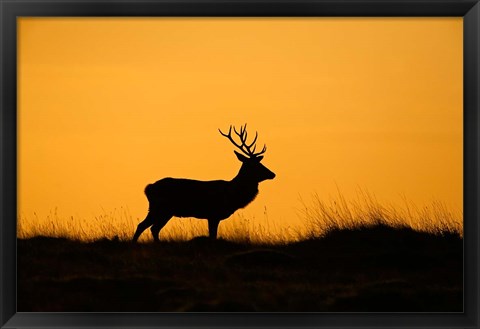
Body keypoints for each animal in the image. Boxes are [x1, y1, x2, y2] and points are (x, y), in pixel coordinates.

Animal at [133, 123, 276, 241]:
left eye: (260, 163)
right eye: (256, 165)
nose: (273, 174)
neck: (232, 195)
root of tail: (148, 188)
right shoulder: (213, 213)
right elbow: (213, 236)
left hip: (162, 210)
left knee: (151, 228)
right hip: (161, 208)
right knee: (146, 226)